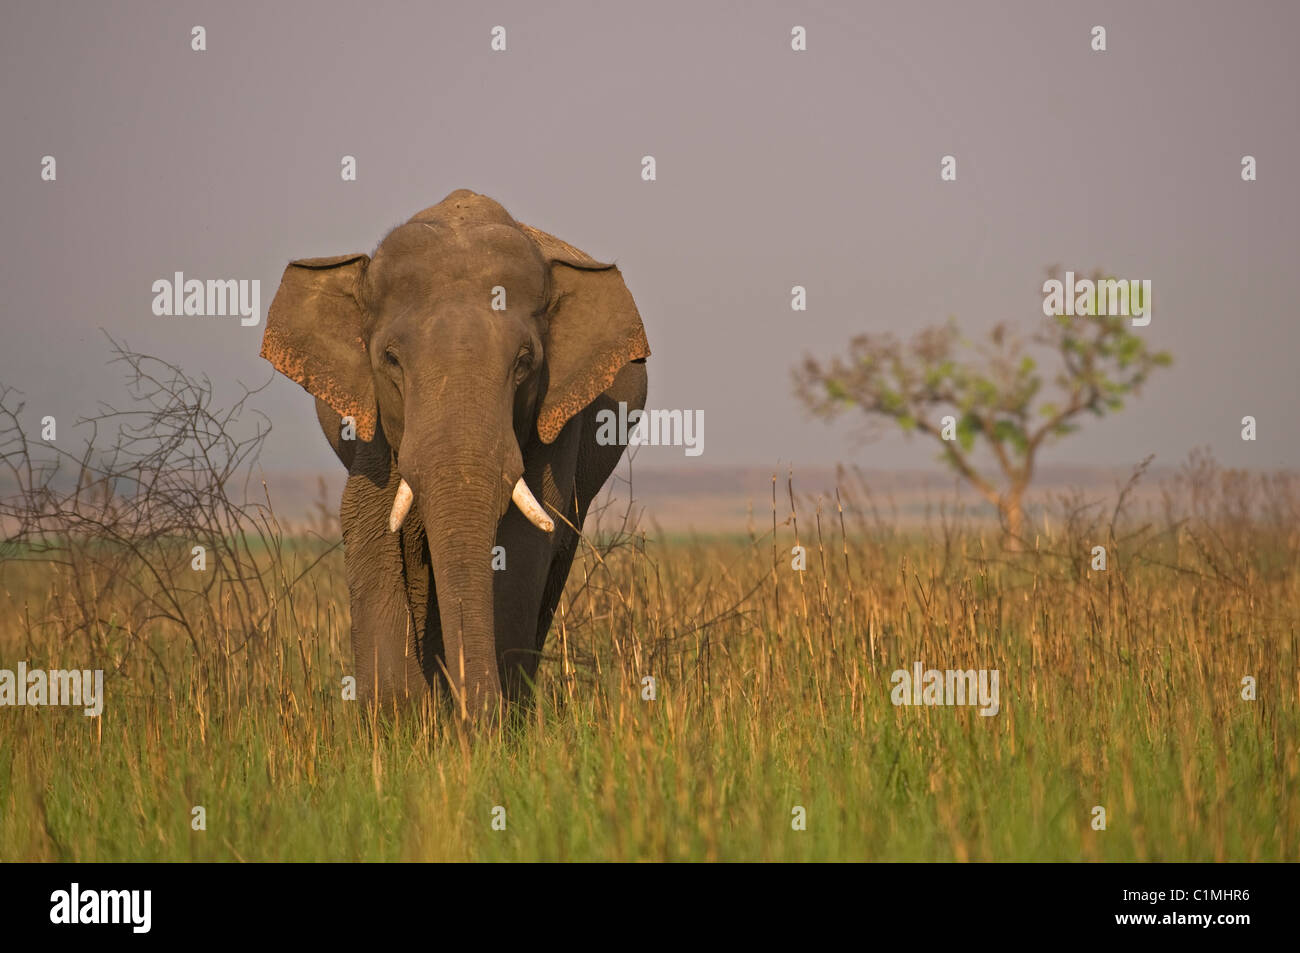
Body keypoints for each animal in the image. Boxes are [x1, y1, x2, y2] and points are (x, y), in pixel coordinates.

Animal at [261, 189, 650, 717]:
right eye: (390, 359)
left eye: (525, 362)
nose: (474, 717)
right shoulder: (372, 413)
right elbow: (366, 517)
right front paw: (399, 718)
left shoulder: (556, 416)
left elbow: (525, 536)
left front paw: (492, 719)